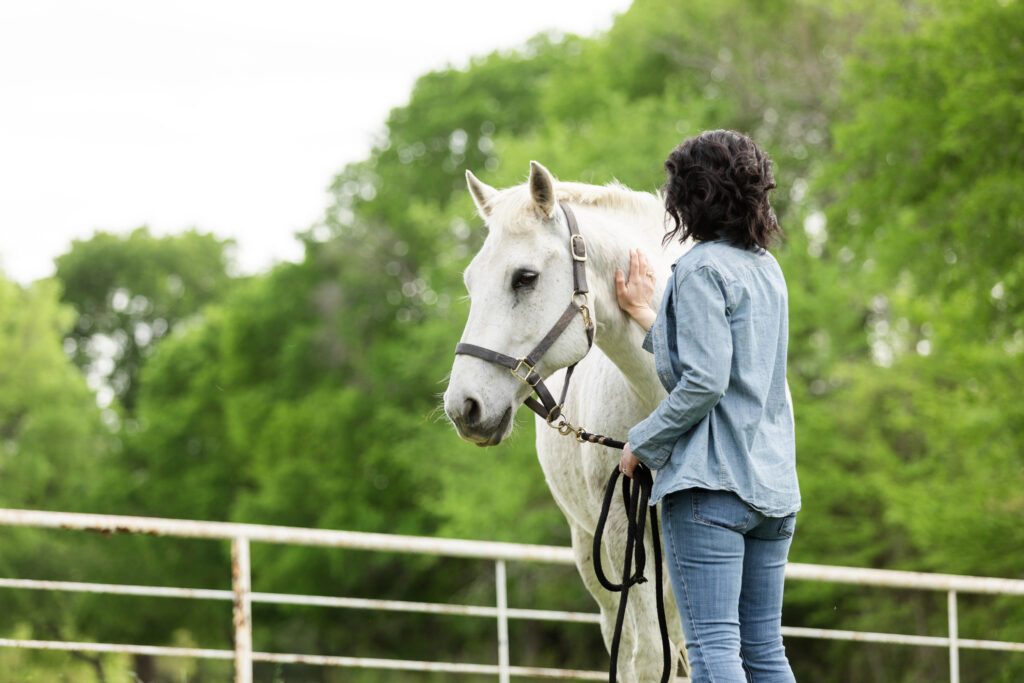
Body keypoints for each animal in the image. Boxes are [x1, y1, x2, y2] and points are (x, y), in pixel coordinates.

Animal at [444, 160, 692, 681]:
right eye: (472, 282)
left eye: (525, 278)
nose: (464, 407)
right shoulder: (620, 531)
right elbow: (647, 657)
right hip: (590, 552)